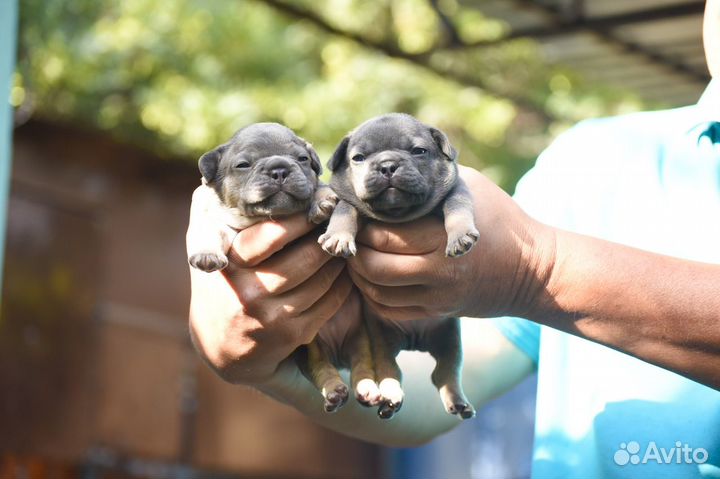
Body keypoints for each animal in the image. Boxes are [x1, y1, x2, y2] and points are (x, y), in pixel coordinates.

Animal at [316, 112, 476, 420]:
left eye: (419, 151)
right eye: (358, 158)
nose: (387, 165)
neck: (399, 214)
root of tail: (415, 340)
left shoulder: (456, 191)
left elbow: (457, 208)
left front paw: (460, 235)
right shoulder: (350, 203)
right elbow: (344, 211)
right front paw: (338, 237)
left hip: (450, 337)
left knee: (446, 370)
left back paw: (457, 400)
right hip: (382, 340)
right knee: (392, 369)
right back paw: (391, 397)